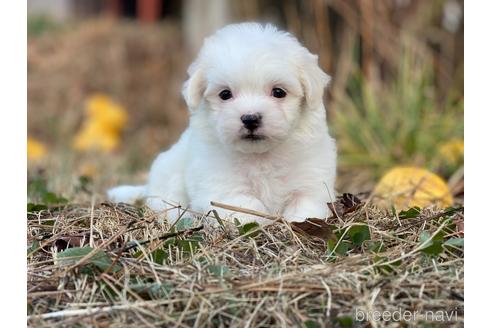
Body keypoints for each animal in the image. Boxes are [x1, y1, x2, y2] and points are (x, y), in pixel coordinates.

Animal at [108, 22, 338, 223]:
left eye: (279, 92)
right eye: (225, 94)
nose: (250, 118)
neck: (260, 156)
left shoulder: (312, 182)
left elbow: (306, 207)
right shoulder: (222, 188)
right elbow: (249, 208)